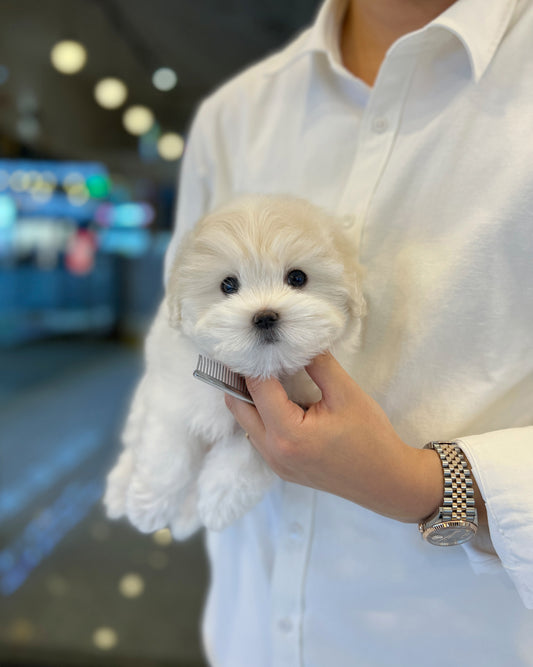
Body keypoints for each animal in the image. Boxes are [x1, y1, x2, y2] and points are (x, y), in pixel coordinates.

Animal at [102, 196, 364, 540]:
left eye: (297, 278)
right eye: (228, 285)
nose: (265, 316)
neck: (258, 370)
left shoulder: (285, 422)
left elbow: (247, 457)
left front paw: (217, 502)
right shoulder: (171, 397)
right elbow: (168, 452)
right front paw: (149, 505)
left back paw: (187, 516)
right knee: (134, 441)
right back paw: (120, 492)